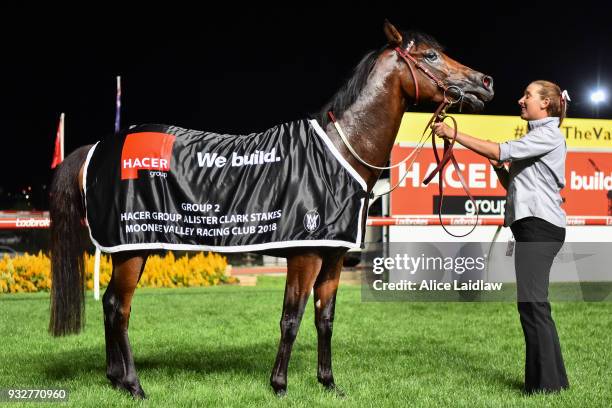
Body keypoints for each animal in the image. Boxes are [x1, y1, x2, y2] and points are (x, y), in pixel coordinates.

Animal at [50, 20, 494, 396]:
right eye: (431, 56)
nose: (484, 82)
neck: (336, 154)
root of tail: (98, 147)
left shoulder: (333, 258)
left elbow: (324, 319)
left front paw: (328, 383)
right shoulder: (304, 255)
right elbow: (290, 319)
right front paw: (279, 385)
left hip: (127, 249)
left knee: (111, 306)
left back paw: (116, 379)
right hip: (133, 248)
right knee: (118, 308)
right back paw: (134, 385)